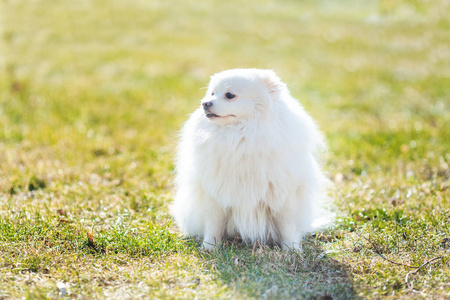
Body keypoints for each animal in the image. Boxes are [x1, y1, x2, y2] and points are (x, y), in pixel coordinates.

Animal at [172, 68, 330, 251]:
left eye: (229, 95)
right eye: (212, 93)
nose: (205, 103)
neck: (242, 136)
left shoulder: (283, 196)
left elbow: (287, 226)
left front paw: (292, 250)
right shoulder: (215, 196)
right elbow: (213, 225)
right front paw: (210, 247)